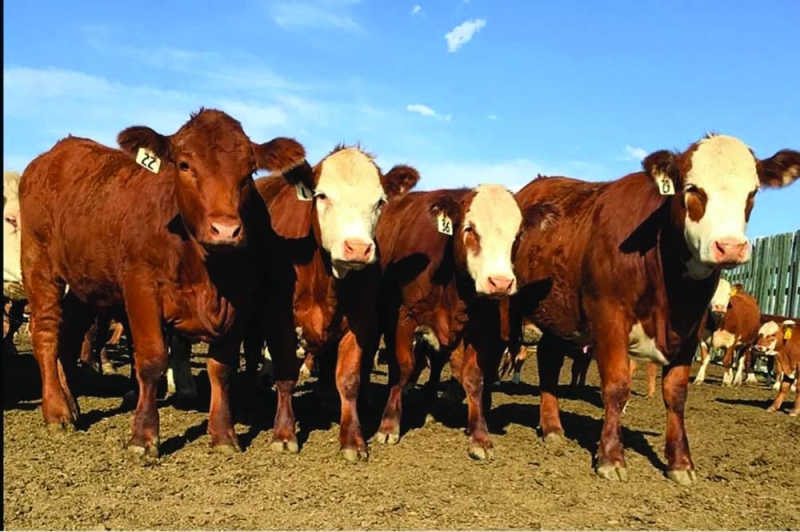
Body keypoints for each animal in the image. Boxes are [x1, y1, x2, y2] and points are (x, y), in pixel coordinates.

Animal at [19, 108, 306, 457]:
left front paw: (223, 434)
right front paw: (143, 437)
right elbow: (152, 360)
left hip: (85, 281)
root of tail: (56, 153)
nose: (226, 230)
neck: (207, 273)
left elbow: (221, 367)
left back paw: (71, 403)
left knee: (70, 334)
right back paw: (57, 413)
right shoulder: (141, 287)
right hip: (39, 264)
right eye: (184, 165)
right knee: (47, 332)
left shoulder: (240, 298)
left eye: (250, 172)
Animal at [244, 145, 420, 461]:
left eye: (380, 202)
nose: (358, 248)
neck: (326, 278)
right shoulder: (279, 317)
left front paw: (353, 439)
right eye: (322, 195)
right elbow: (285, 373)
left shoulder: (360, 322)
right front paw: (284, 433)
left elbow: (349, 380)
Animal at [374, 184, 543, 459]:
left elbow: (474, 378)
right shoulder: (403, 317)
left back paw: (430, 406)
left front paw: (480, 437)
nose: (500, 282)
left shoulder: (481, 328)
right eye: (469, 228)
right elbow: (403, 367)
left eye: (517, 235)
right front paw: (389, 425)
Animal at [509, 133, 800, 485]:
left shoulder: (690, 330)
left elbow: (676, 393)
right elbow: (617, 386)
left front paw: (680, 463)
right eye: (692, 188)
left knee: (549, 358)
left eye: (753, 192)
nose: (729, 247)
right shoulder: (609, 316)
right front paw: (611, 457)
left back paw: (552, 428)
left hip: (558, 313)